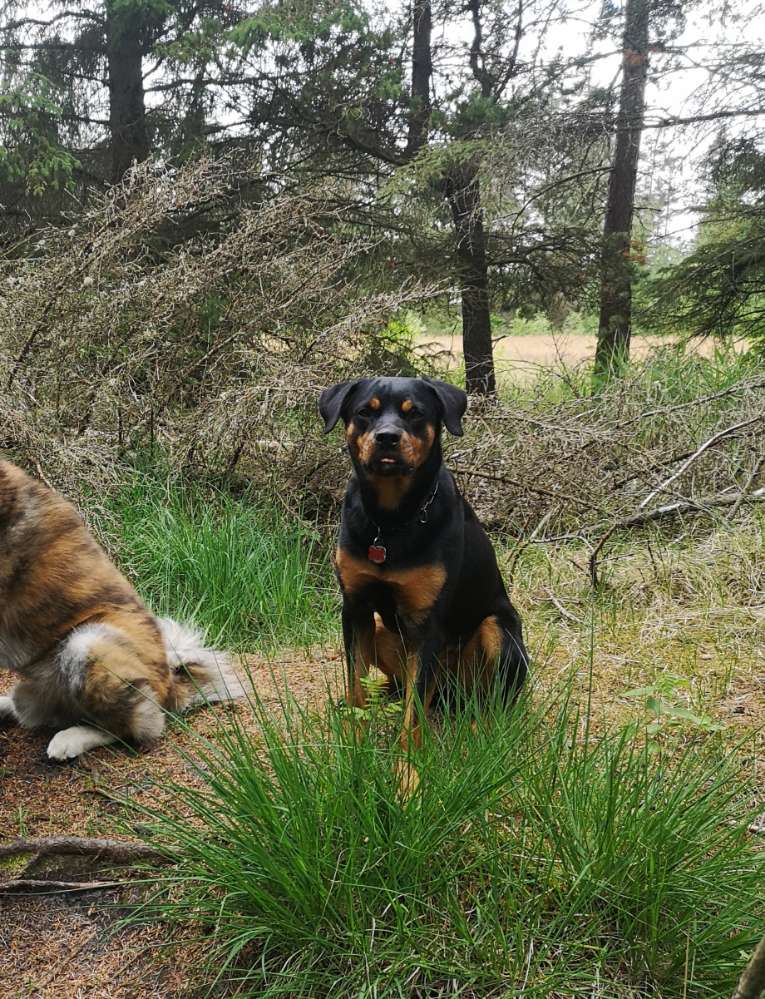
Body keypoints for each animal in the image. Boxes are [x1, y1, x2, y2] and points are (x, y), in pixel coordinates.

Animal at [320, 376, 528, 788]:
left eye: (414, 413)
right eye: (365, 411)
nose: (387, 437)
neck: (390, 522)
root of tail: (449, 695)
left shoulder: (428, 623)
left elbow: (413, 714)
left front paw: (407, 775)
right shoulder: (356, 609)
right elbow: (355, 687)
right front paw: (351, 749)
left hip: (499, 634)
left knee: (490, 701)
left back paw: (480, 730)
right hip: (383, 632)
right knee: (398, 686)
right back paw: (384, 692)